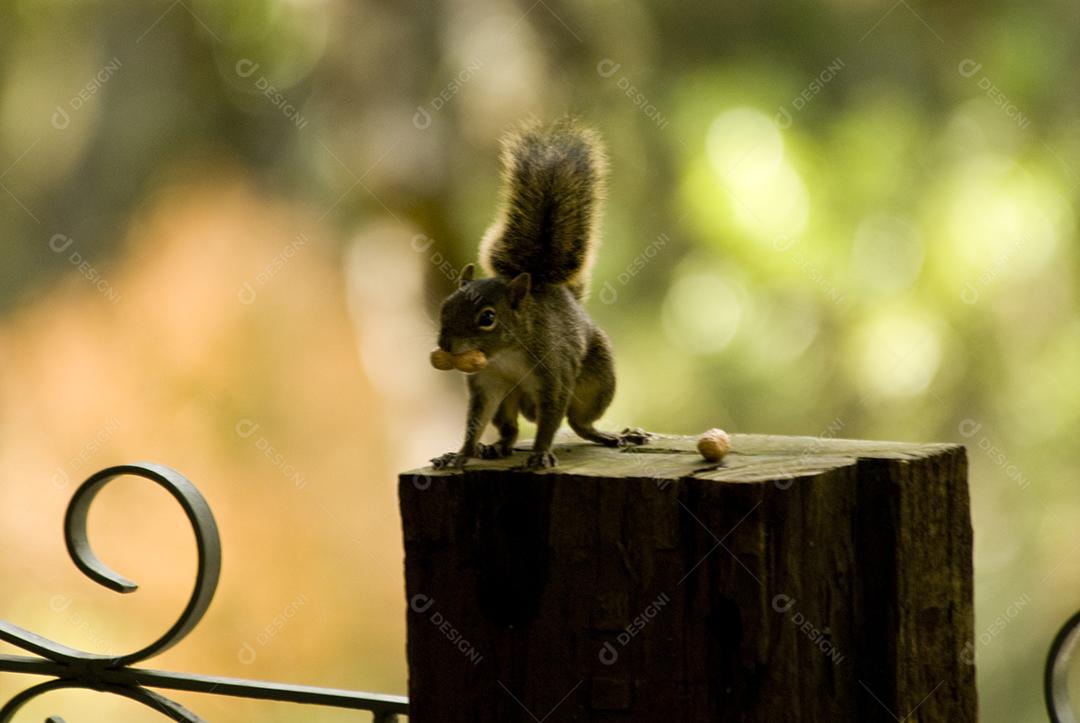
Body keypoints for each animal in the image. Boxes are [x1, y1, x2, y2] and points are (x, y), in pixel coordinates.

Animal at [429, 117, 648, 469]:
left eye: (487, 318)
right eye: (444, 307)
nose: (446, 345)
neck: (505, 354)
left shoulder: (554, 375)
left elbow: (551, 418)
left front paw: (541, 453)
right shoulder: (487, 383)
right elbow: (475, 421)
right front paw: (460, 454)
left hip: (597, 382)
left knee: (578, 421)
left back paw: (610, 435)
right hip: (509, 398)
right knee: (510, 429)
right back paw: (494, 447)